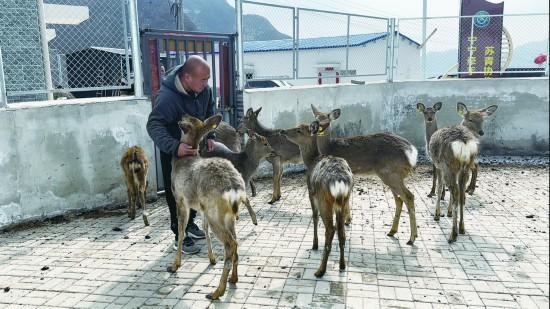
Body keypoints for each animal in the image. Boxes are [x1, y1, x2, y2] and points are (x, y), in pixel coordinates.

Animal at [168, 113, 246, 298]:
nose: (181, 114)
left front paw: (175, 265)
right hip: (227, 215)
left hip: (215, 213)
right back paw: (233, 278)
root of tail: (235, 188)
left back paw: (217, 291)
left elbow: (181, 231)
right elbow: (204, 229)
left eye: (189, 118)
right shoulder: (201, 206)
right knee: (235, 241)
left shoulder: (181, 199)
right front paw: (212, 259)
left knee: (230, 244)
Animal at [280, 121, 354, 276]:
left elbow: (314, 216)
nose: (282, 131)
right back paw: (342, 265)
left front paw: (314, 244)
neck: (311, 161)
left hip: (324, 200)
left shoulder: (310, 192)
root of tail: (340, 181)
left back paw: (320, 270)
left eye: (299, 130)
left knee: (330, 229)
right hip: (345, 200)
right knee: (341, 232)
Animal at [312, 104, 420, 244]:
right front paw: (348, 220)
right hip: (393, 176)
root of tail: (412, 153)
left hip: (391, 174)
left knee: (408, 196)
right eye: (316, 118)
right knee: (399, 199)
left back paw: (411, 238)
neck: (330, 147)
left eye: (327, 120)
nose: (316, 127)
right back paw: (393, 231)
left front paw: (346, 220)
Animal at [432, 102, 500, 242]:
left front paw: (437, 214)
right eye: (471, 119)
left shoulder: (439, 166)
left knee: (456, 192)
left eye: (482, 120)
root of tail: (463, 141)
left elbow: (439, 188)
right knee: (462, 194)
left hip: (449, 166)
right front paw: (447, 212)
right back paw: (462, 228)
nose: (481, 132)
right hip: (466, 166)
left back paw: (453, 234)